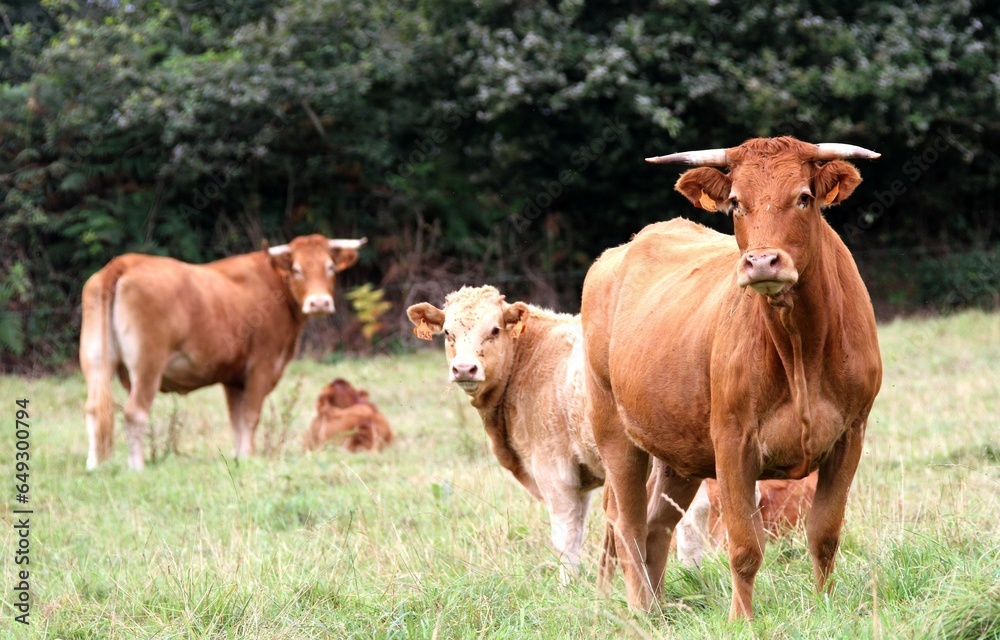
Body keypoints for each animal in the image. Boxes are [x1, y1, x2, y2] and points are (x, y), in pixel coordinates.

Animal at [584, 136, 884, 620]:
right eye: (737, 203)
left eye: (804, 197)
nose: (761, 262)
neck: (800, 350)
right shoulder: (732, 442)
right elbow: (745, 547)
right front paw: (741, 619)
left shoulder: (850, 436)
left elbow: (824, 533)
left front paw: (825, 607)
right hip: (614, 431)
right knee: (626, 524)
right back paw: (641, 612)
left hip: (678, 451)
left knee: (656, 525)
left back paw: (660, 610)